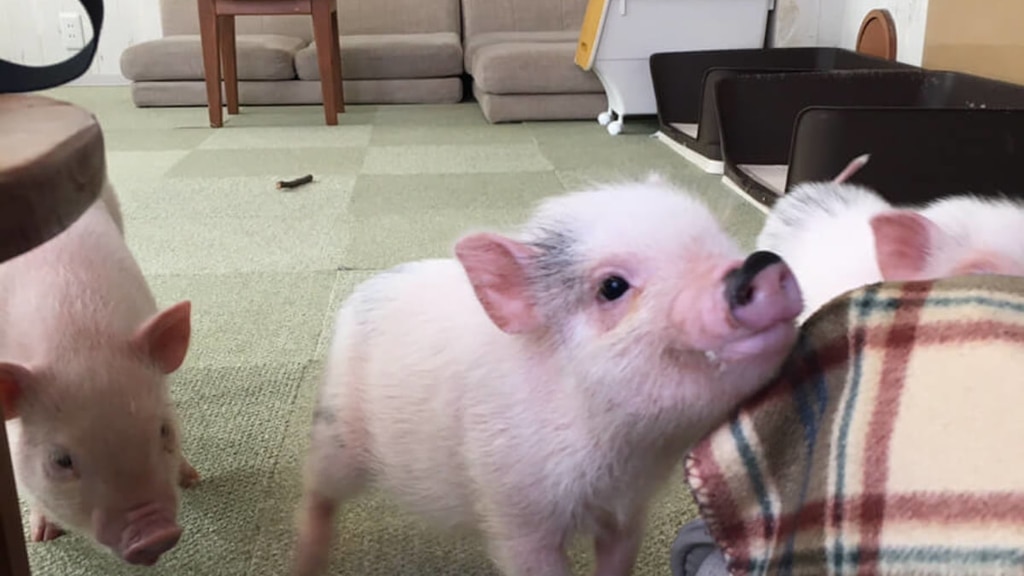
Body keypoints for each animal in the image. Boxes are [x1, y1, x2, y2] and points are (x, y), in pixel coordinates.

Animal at [0, 179, 198, 566]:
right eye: (60, 461)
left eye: (164, 430)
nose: (155, 535)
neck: (79, 339)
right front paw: (43, 537)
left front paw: (192, 479)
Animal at [291, 175, 804, 576]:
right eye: (612, 287)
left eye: (721, 238)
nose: (760, 264)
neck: (620, 452)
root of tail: (360, 292)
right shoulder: (515, 511)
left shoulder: (629, 510)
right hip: (339, 429)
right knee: (317, 487)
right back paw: (306, 562)